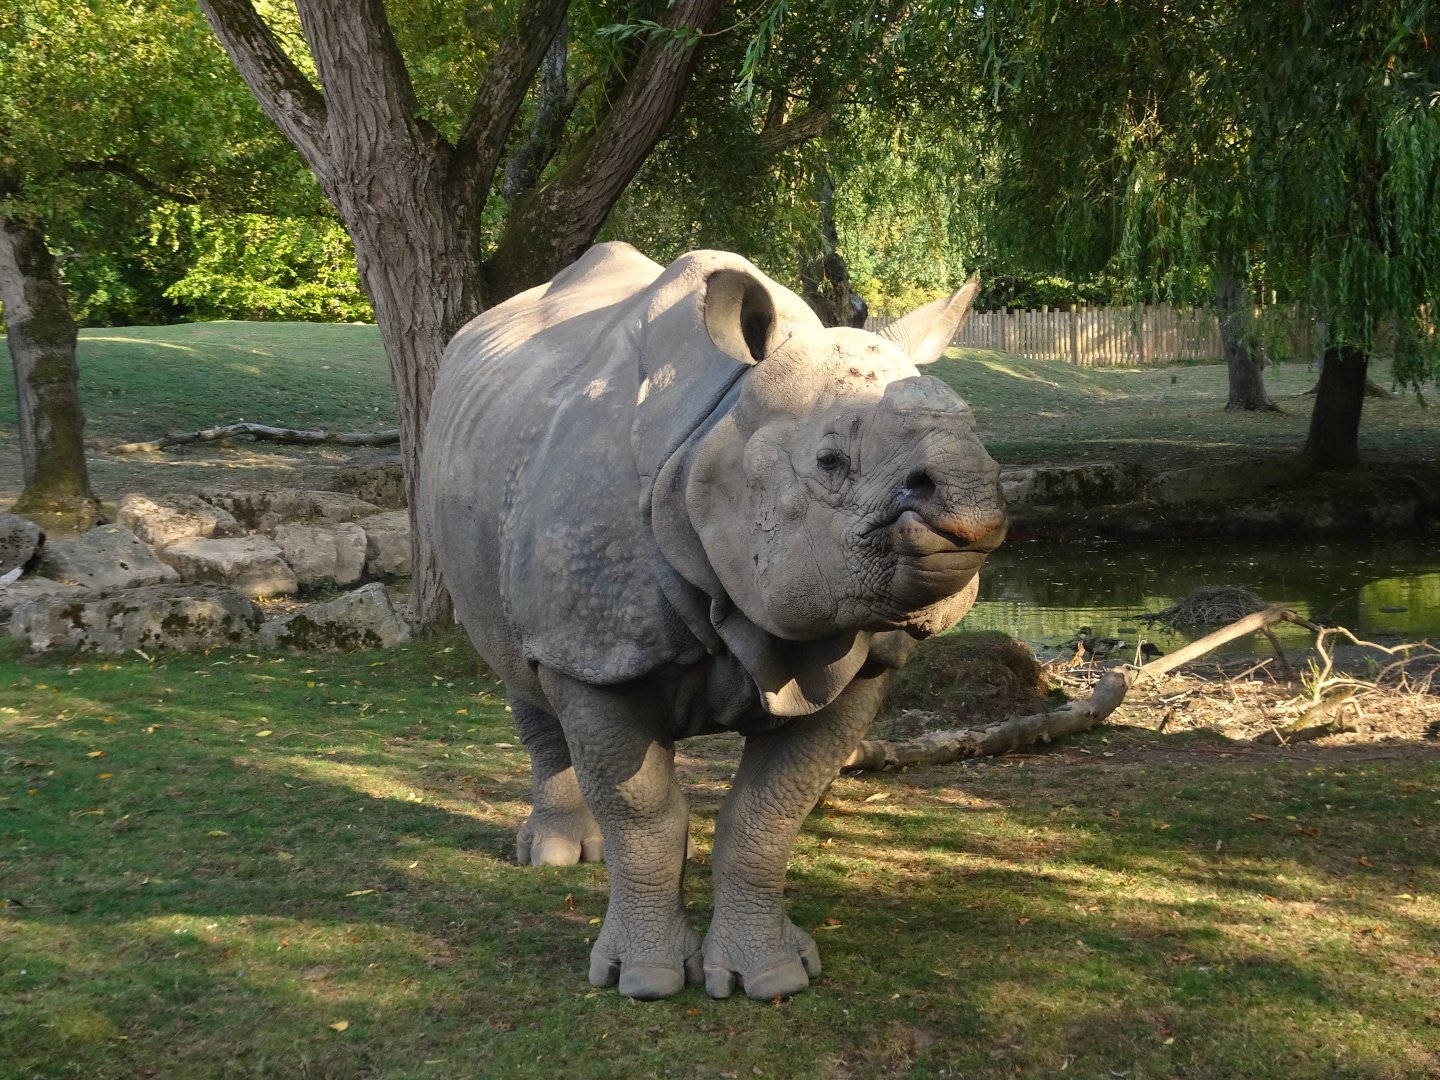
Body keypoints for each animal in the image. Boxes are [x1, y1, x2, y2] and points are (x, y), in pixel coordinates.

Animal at [420, 242, 1005, 1001]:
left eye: (981, 439)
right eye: (829, 462)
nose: (969, 496)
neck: (713, 440)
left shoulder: (861, 658)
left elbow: (766, 816)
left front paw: (773, 977)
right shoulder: (598, 645)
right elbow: (643, 815)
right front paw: (644, 981)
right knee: (521, 667)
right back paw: (556, 856)